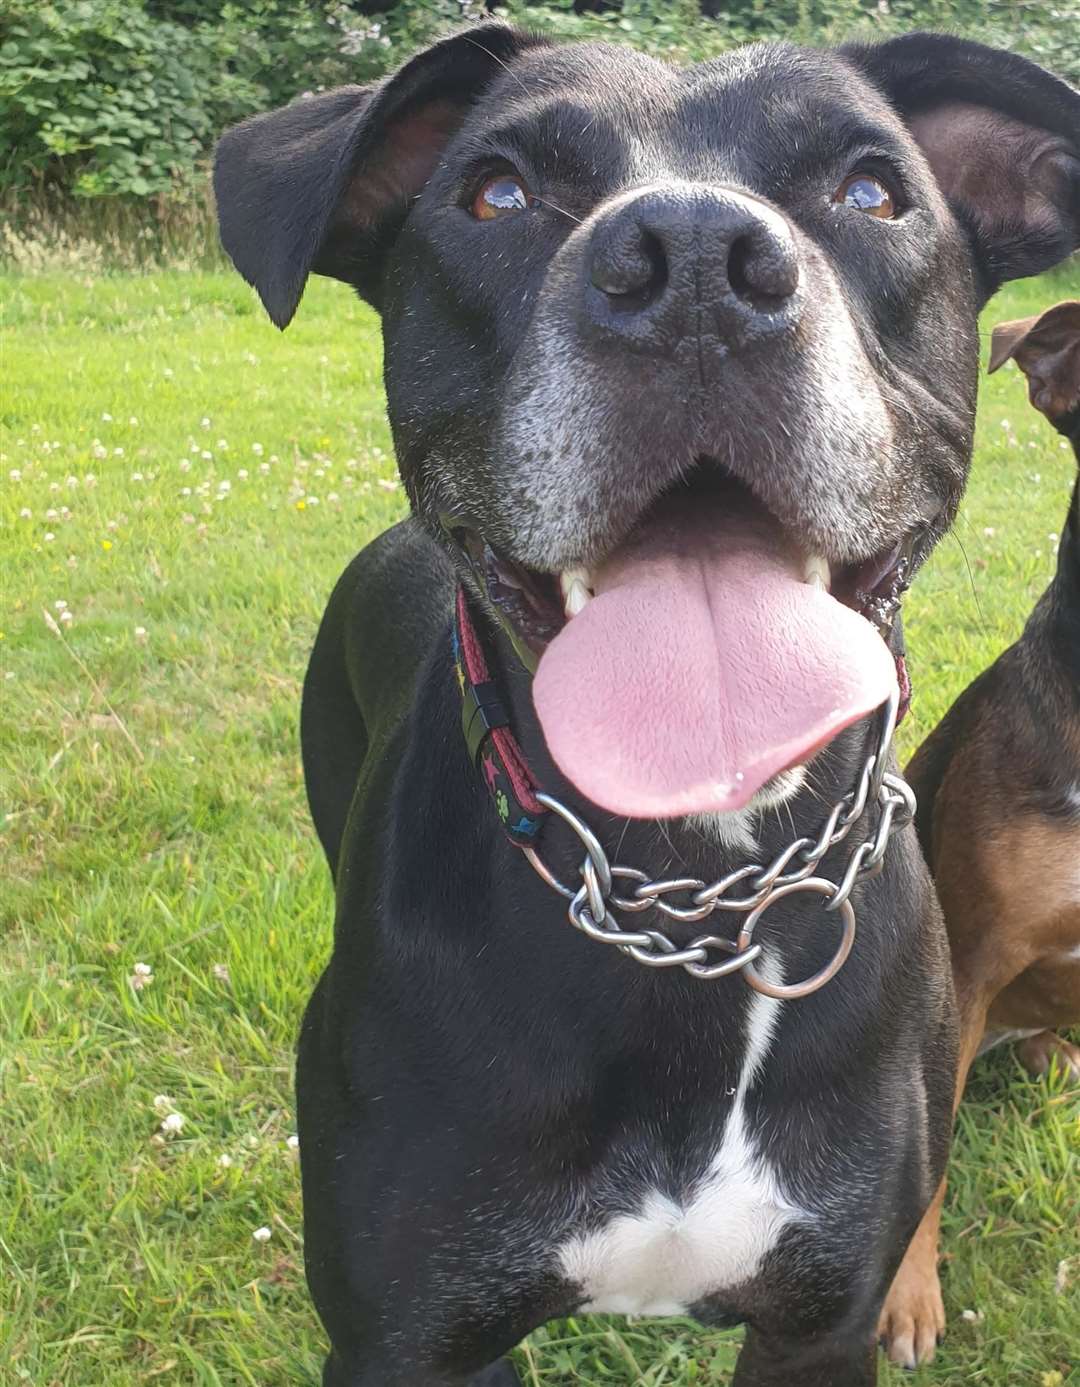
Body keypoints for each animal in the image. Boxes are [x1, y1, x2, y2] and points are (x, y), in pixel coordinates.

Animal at [213, 24, 1080, 1387]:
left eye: (872, 191)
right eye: (496, 193)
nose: (694, 265)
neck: (691, 890)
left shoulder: (820, 1323)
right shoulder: (409, 1337)